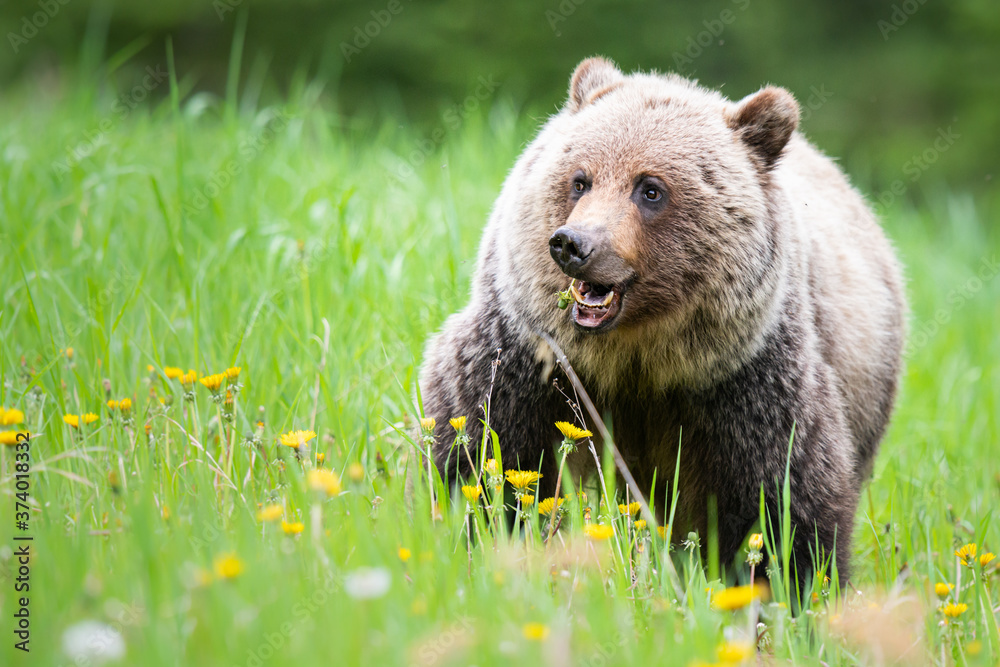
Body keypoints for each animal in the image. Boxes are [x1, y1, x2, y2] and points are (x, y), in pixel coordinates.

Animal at [419, 57, 906, 587]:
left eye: (650, 189)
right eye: (580, 179)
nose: (573, 244)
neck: (639, 359)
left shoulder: (745, 380)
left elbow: (782, 500)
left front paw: (789, 586)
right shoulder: (529, 358)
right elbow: (487, 454)